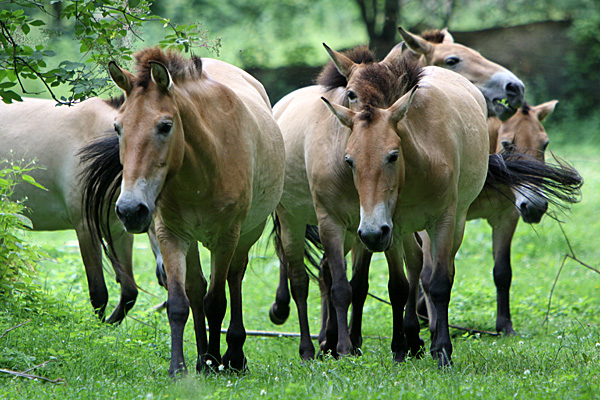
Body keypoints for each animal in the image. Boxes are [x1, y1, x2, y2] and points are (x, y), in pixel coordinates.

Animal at [82, 48, 286, 376]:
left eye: (165, 126)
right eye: (117, 127)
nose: (130, 210)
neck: (204, 168)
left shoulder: (226, 238)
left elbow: (217, 301)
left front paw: (218, 359)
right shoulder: (171, 235)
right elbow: (180, 302)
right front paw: (180, 367)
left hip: (245, 236)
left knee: (234, 280)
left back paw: (233, 356)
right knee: (196, 288)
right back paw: (203, 357)